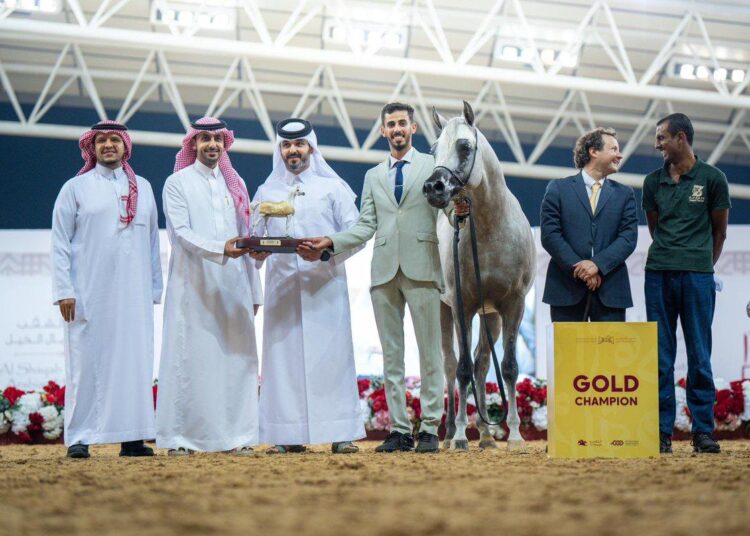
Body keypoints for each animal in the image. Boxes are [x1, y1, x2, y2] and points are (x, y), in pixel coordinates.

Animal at [422, 101, 536, 451]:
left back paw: (486, 435)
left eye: (465, 146)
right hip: (445, 311)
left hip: (491, 318)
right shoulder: (464, 306)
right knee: (450, 365)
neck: (489, 228)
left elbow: (508, 368)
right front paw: (460, 435)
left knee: (484, 363)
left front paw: (515, 435)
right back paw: (448, 435)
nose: (433, 188)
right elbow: (462, 370)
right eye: (433, 149)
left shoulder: (513, 306)